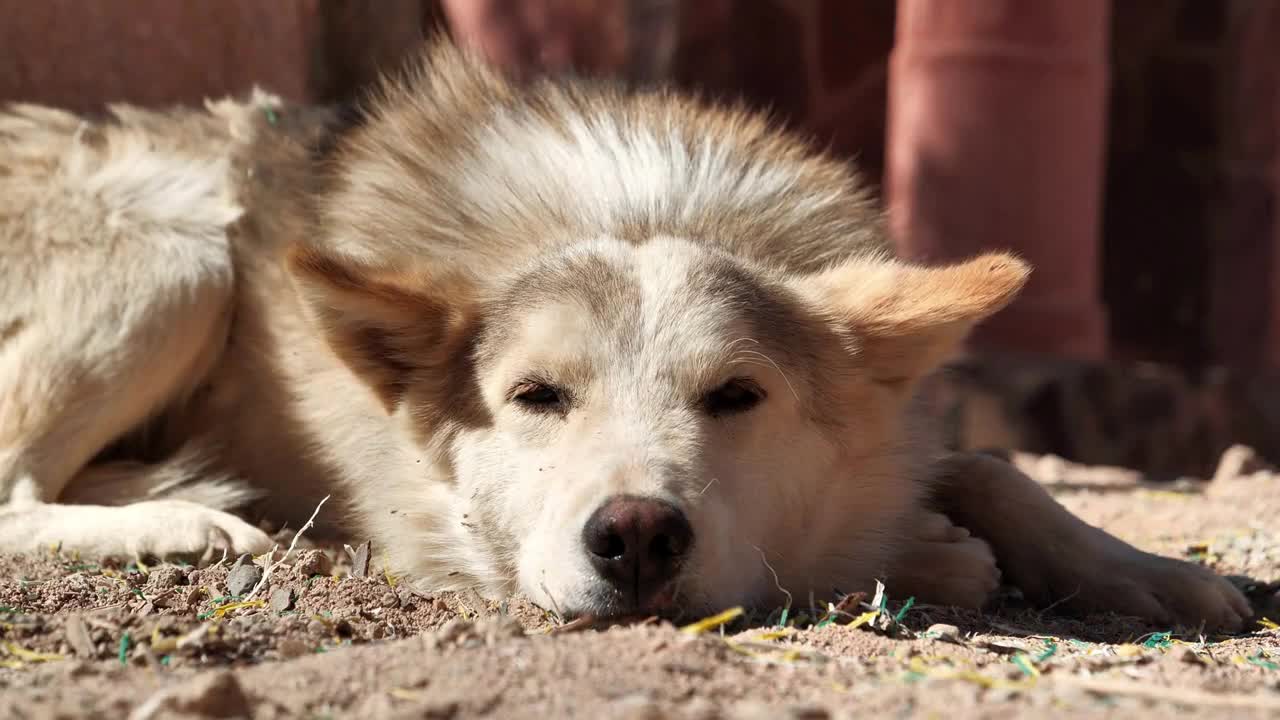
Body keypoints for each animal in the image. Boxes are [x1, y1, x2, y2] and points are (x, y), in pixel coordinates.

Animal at [0, 40, 1244, 627]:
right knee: (14, 491)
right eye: (536, 398)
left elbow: (989, 467)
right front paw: (932, 552)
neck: (639, 206)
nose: (636, 538)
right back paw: (180, 525)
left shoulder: (904, 422)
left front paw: (1145, 569)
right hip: (179, 253)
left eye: (736, 396)